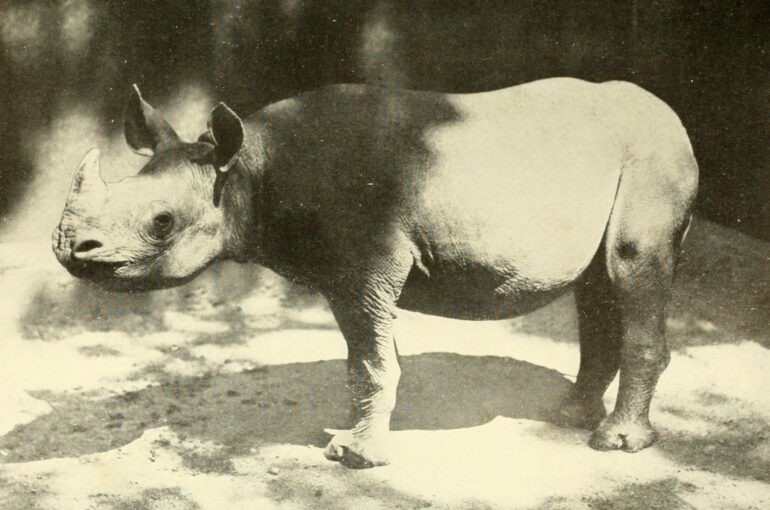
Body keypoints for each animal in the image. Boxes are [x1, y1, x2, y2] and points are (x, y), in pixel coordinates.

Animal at [53, 78, 698, 468]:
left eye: (162, 223)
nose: (72, 253)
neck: (248, 169)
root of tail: (676, 118)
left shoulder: (367, 262)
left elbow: (369, 361)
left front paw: (354, 457)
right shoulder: (354, 268)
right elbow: (367, 359)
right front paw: (361, 441)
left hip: (654, 161)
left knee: (632, 266)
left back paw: (614, 445)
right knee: (597, 287)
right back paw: (565, 417)